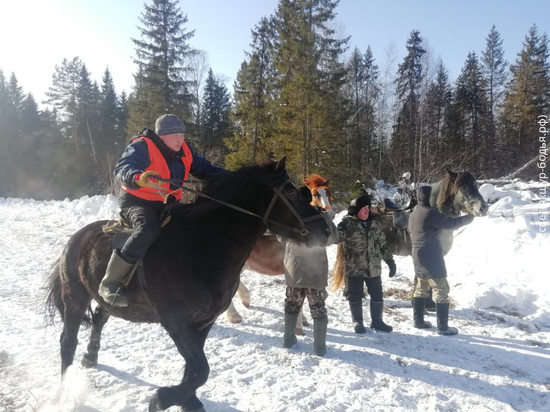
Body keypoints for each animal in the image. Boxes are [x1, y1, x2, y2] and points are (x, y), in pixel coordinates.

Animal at [46, 159, 332, 412]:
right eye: (292, 192)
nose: (326, 230)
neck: (201, 245)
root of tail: (77, 237)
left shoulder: (203, 323)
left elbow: (193, 371)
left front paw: (186, 401)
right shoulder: (178, 323)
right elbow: (200, 370)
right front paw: (161, 399)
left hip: (103, 298)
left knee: (99, 319)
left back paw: (91, 356)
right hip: (75, 298)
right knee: (67, 341)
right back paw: (65, 389)